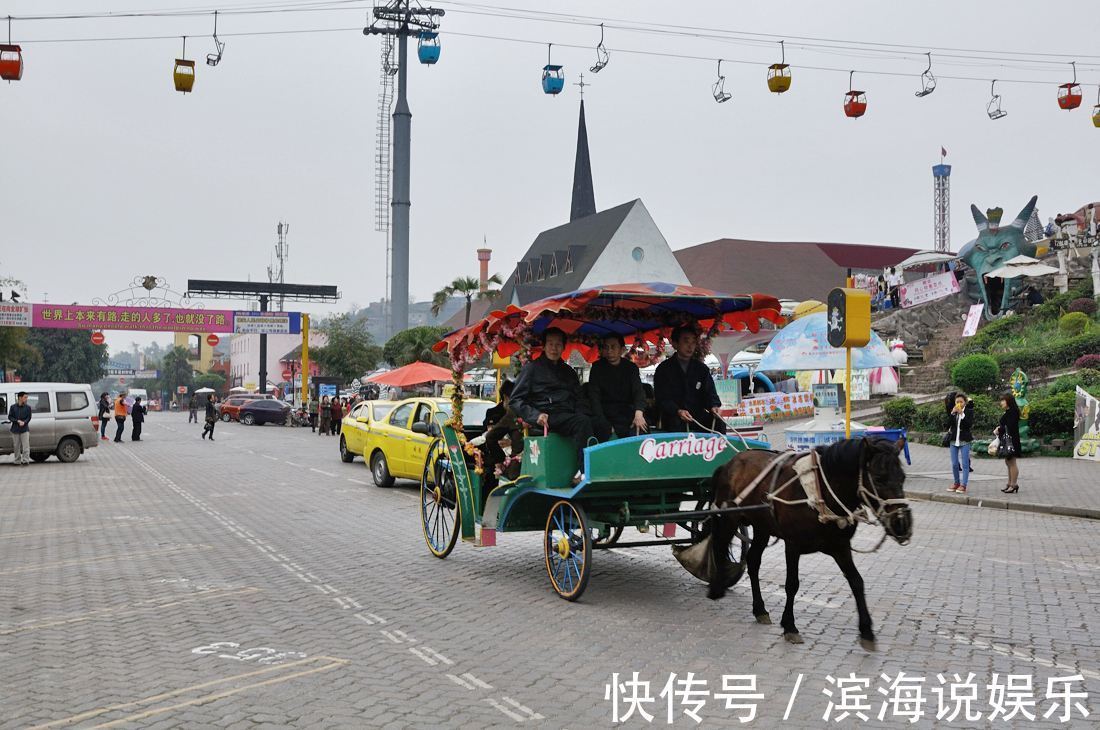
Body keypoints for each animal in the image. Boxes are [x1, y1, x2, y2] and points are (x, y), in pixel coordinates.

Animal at [708, 435, 915, 650]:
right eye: (879, 478)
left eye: (902, 478)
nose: (902, 523)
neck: (820, 493)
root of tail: (730, 463)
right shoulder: (792, 545)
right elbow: (792, 584)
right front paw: (790, 626)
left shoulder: (840, 547)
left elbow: (857, 582)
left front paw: (866, 630)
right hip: (729, 518)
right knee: (719, 546)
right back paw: (716, 587)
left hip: (762, 527)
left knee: (753, 560)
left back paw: (759, 609)